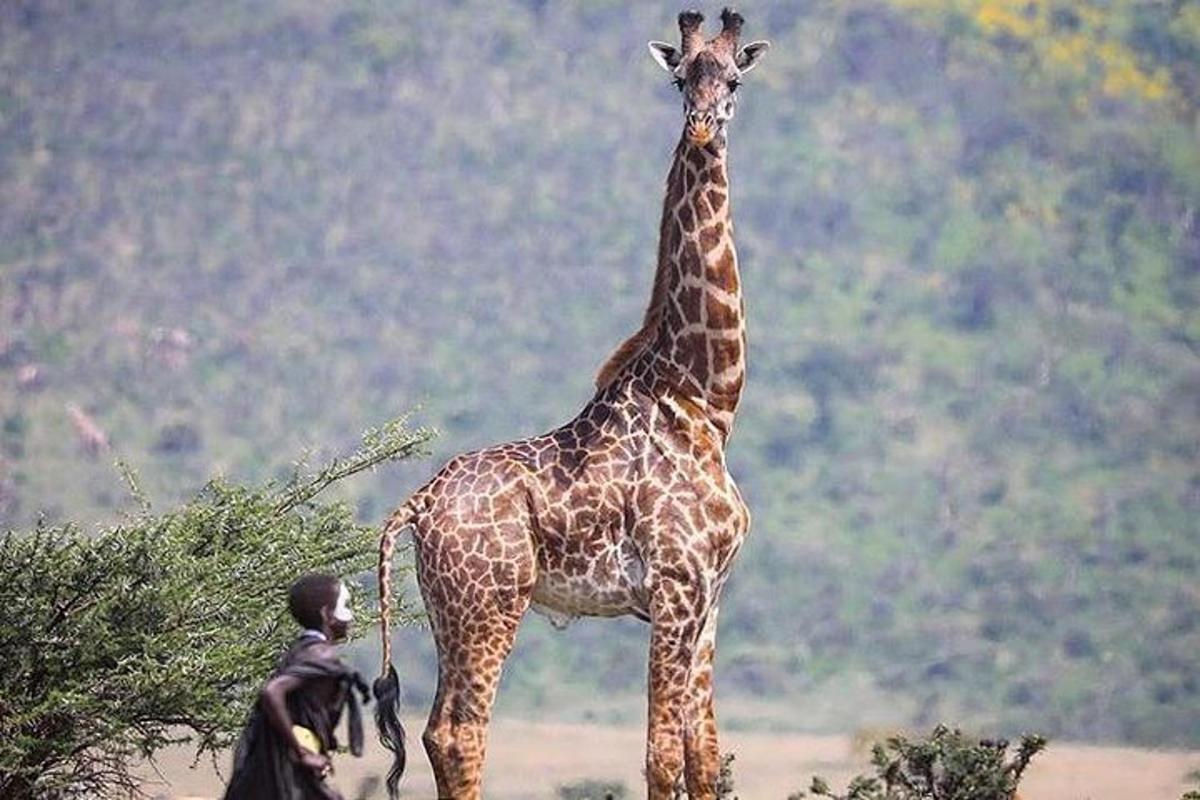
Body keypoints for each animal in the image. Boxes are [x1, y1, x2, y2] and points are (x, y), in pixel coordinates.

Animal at [374, 9, 768, 796]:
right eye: (681, 78)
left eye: (734, 79)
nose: (702, 128)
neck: (705, 401)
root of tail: (419, 503)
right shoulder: (675, 587)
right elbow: (661, 754)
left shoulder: (710, 598)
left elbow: (704, 755)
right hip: (491, 602)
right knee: (461, 732)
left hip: (449, 609)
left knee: (435, 733)